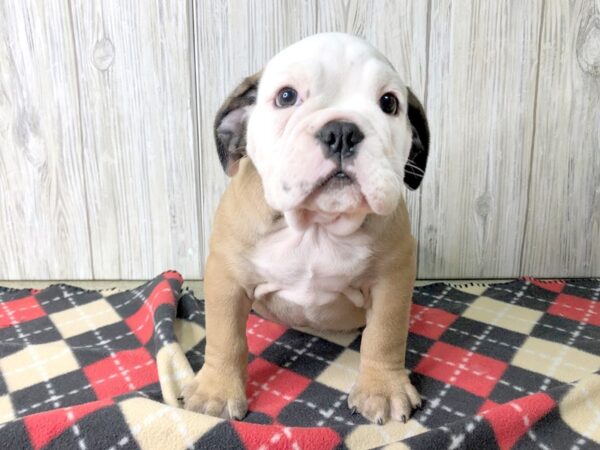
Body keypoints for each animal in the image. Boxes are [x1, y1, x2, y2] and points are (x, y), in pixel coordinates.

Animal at [180, 32, 428, 426]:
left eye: (389, 103)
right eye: (286, 96)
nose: (342, 131)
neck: (316, 226)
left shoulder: (392, 279)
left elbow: (385, 336)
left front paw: (383, 389)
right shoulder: (226, 278)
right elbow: (225, 337)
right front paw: (215, 392)